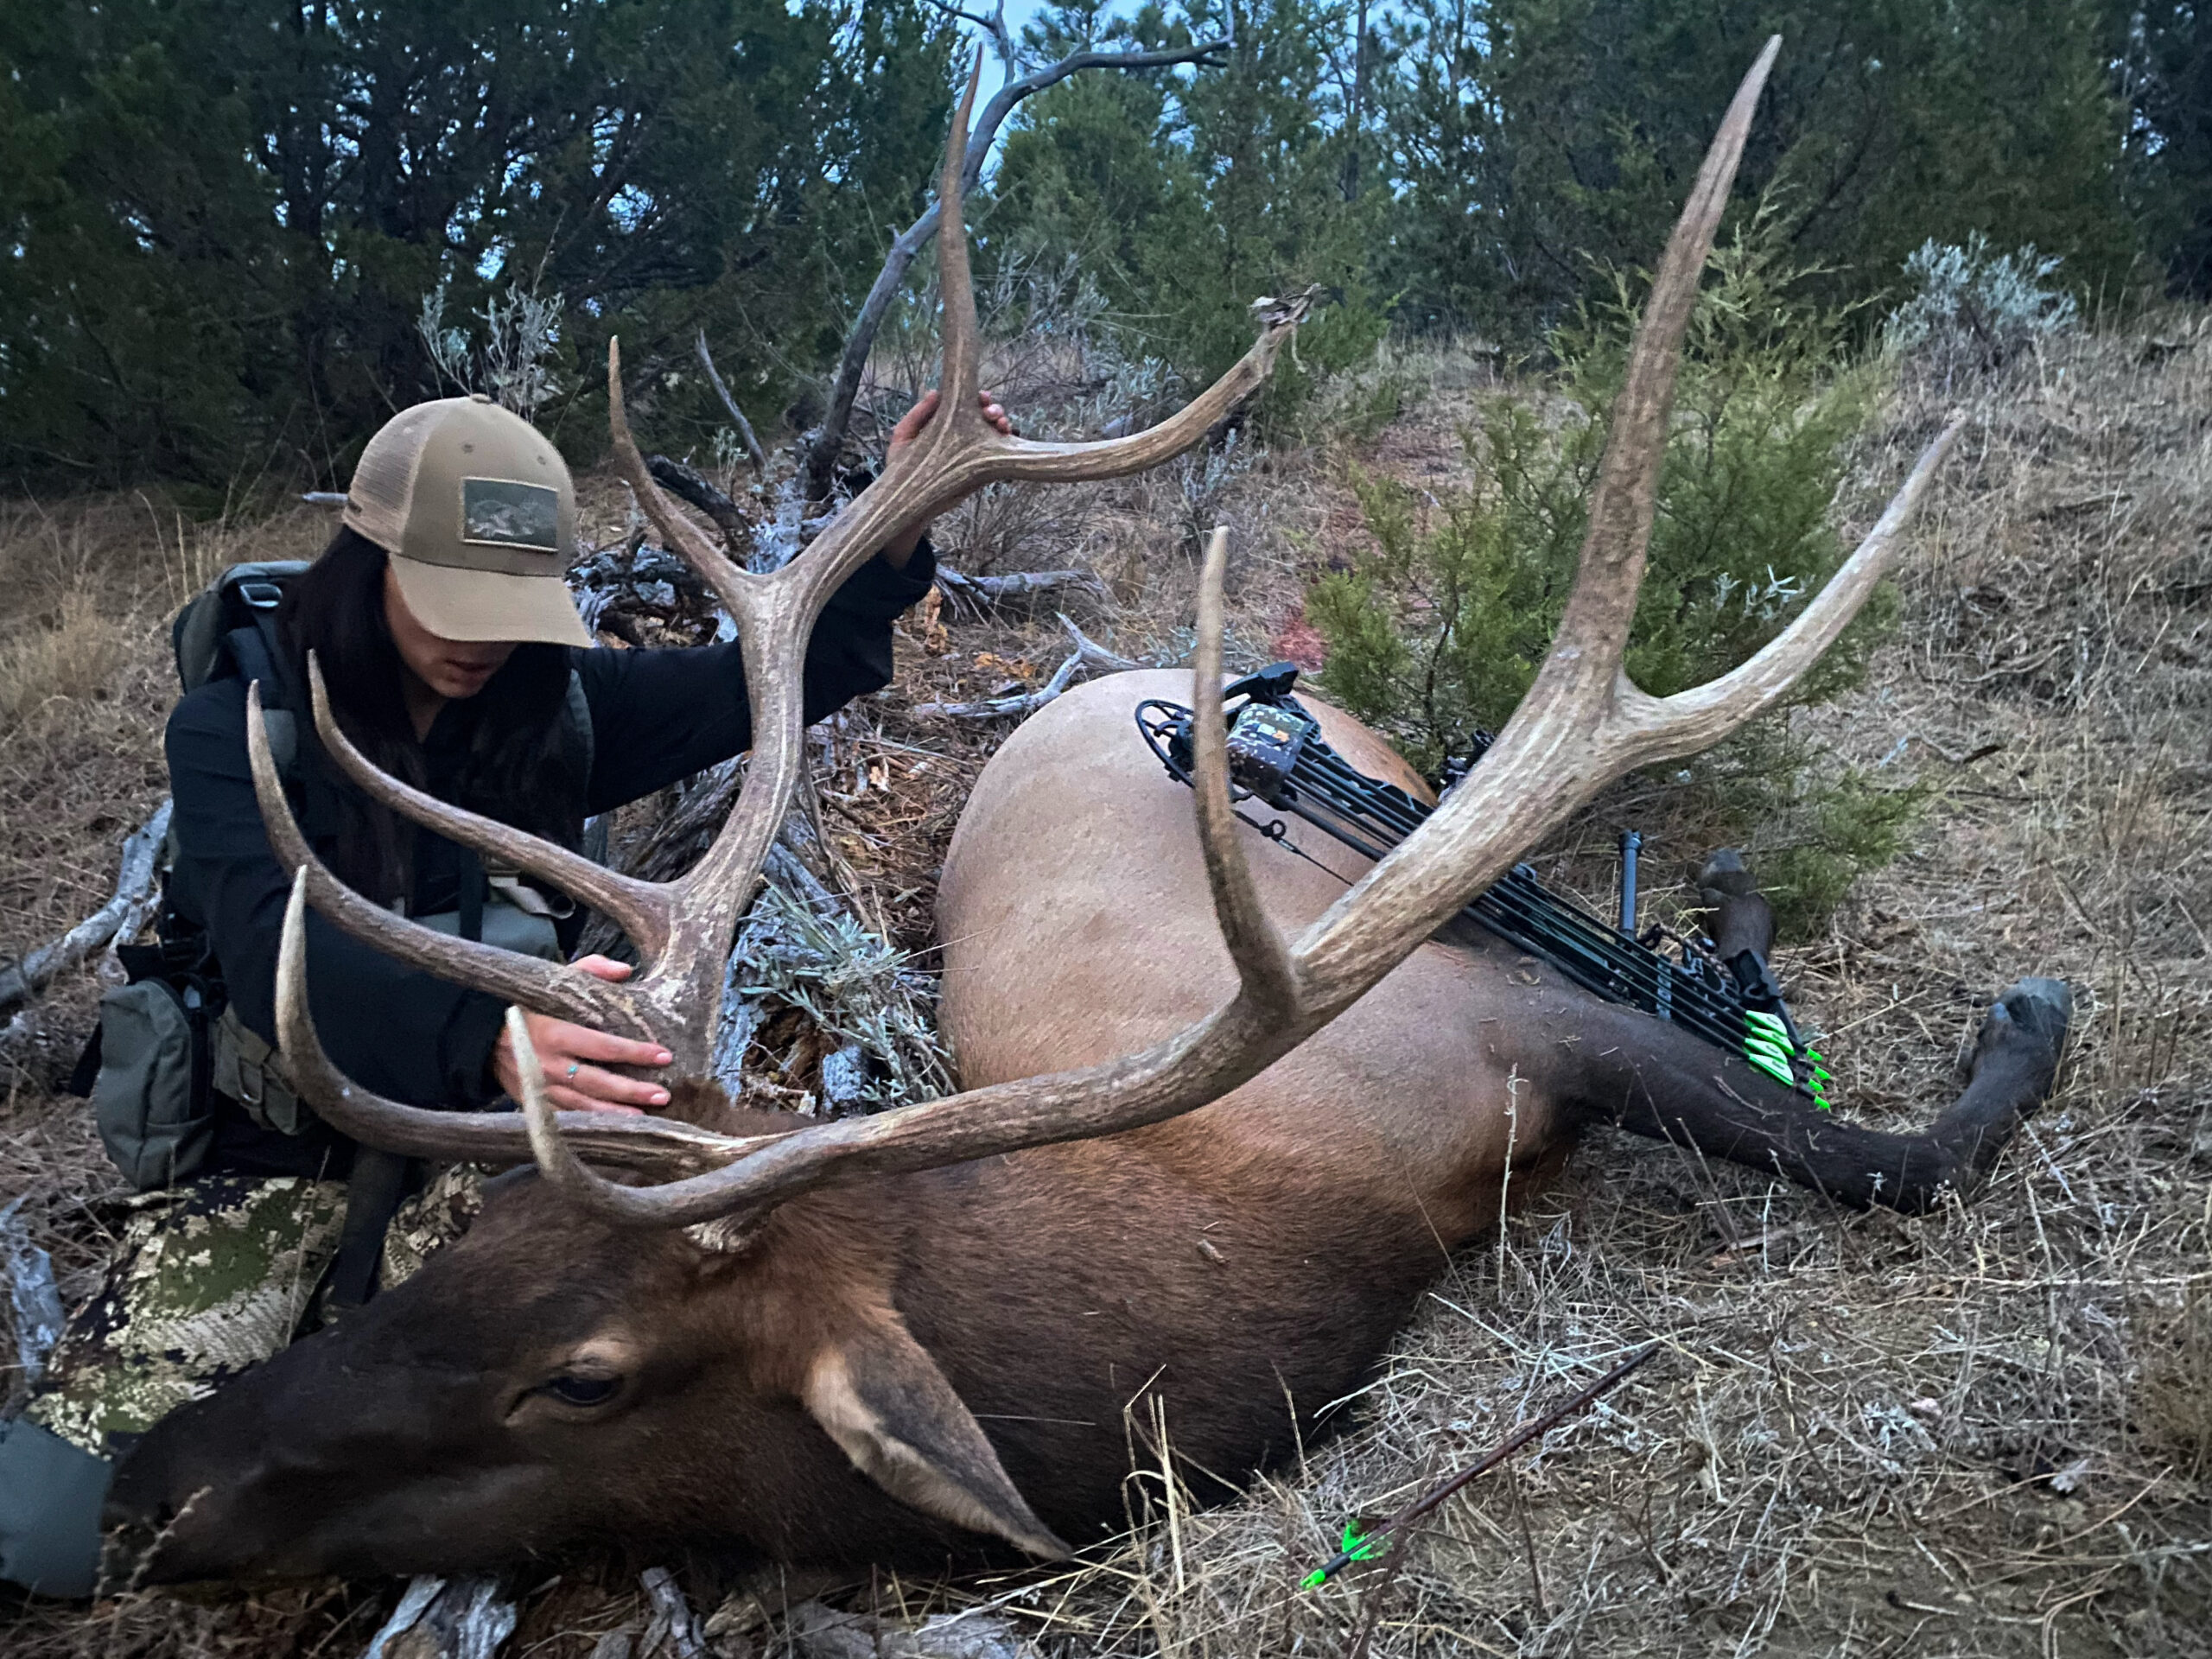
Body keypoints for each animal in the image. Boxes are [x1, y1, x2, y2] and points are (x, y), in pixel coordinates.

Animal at [105, 41, 2070, 1586]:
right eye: (473, 1234)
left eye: (581, 1371)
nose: (152, 1481)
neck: (1304, 1217)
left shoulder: (1516, 1015)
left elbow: (1868, 1148)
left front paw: (2025, 1024)